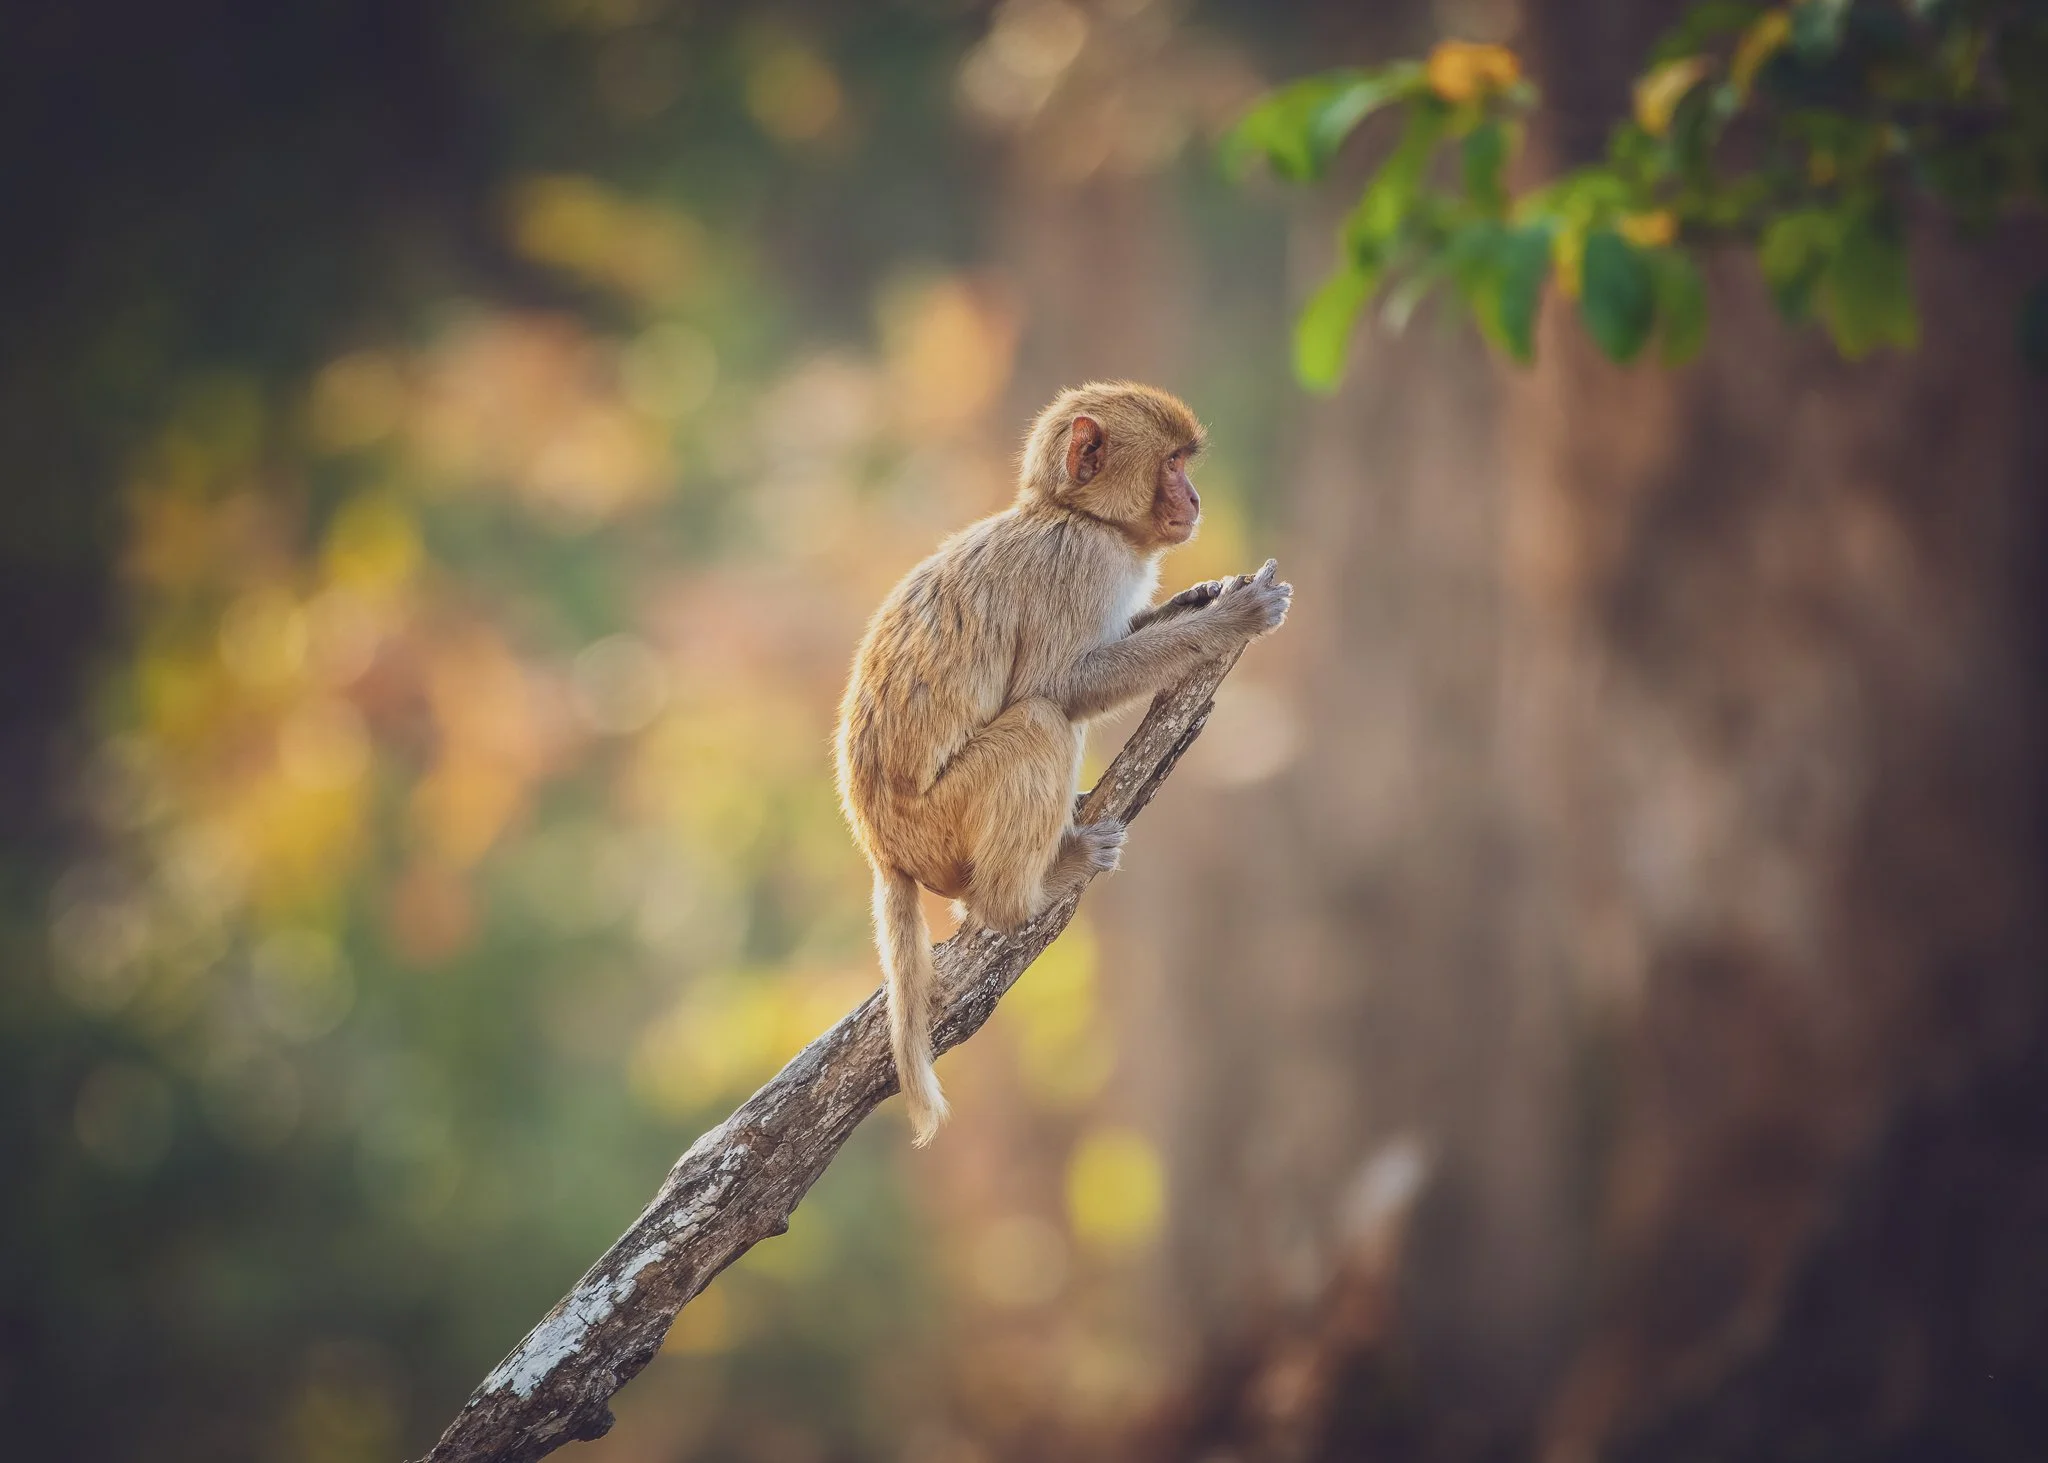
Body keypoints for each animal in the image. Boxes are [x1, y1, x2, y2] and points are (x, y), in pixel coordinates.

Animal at [834, 381, 1292, 1145]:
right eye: (1173, 463)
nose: (1195, 498)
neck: (1070, 514)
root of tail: (880, 848)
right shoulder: (1079, 564)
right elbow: (1062, 684)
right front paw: (1230, 621)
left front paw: (1192, 600)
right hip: (939, 822)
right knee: (1042, 724)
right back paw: (1020, 894)